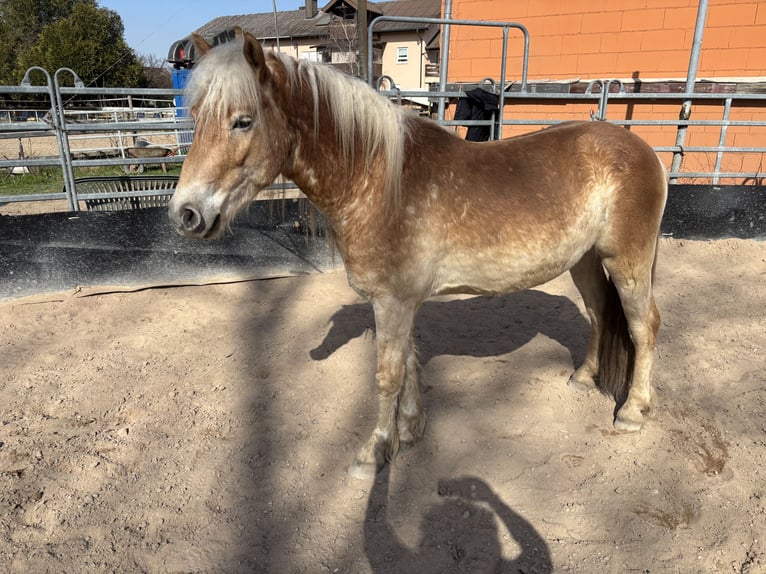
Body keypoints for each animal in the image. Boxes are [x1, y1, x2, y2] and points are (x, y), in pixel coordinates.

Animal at [168, 28, 667, 480]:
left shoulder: (393, 301)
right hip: (585, 261)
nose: (186, 214)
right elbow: (408, 362)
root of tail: (644, 150)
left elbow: (387, 375)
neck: (377, 179)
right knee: (600, 313)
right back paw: (584, 378)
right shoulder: (399, 302)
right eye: (195, 116)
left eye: (242, 121)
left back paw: (632, 411)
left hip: (627, 262)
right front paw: (408, 432)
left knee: (643, 326)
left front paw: (374, 452)